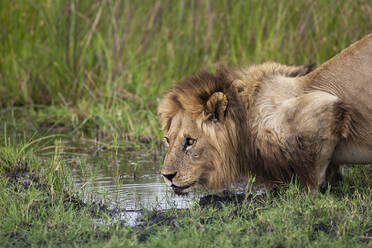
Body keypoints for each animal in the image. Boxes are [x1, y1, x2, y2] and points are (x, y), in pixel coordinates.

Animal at [158, 33, 372, 196]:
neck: (246, 118)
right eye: (167, 140)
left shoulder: (325, 106)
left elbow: (311, 170)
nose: (167, 176)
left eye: (190, 141)